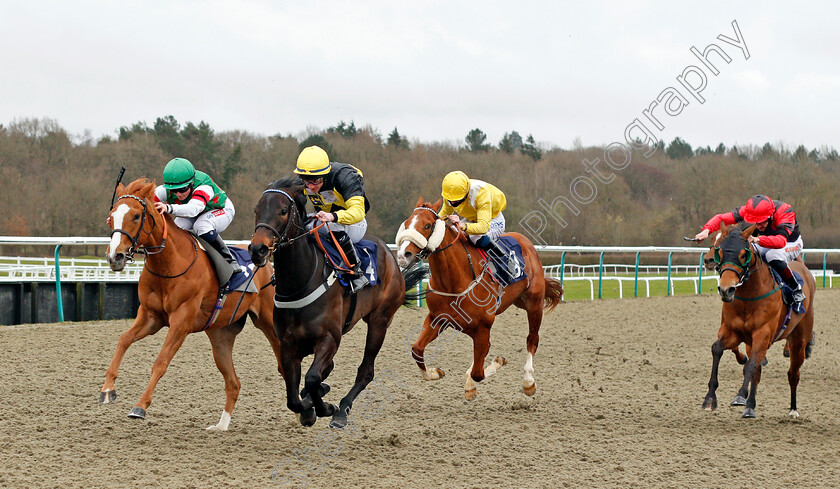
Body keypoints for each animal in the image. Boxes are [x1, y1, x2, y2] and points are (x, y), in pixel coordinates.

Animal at [101, 177, 282, 428]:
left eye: (137, 216)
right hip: (221, 335)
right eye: (112, 215)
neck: (169, 263)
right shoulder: (150, 317)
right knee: (234, 383)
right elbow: (123, 340)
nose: (114, 257)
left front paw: (140, 406)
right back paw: (221, 426)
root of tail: (264, 261)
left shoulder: (181, 322)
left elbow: (160, 362)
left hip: (269, 321)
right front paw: (108, 389)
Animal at [248, 177, 420, 426]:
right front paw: (308, 409)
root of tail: (391, 256)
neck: (299, 283)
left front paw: (326, 408)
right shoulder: (288, 344)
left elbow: (311, 378)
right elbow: (293, 397)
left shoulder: (329, 338)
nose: (257, 249)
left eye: (282, 211)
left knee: (366, 370)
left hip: (380, 321)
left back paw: (342, 409)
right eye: (256, 210)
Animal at [394, 196, 564, 398]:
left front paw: (495, 364)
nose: (403, 255)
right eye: (406, 224)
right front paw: (437, 373)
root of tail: (527, 242)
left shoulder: (483, 326)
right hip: (518, 301)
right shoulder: (438, 318)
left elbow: (478, 373)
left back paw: (528, 381)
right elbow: (417, 350)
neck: (454, 280)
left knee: (532, 339)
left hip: (534, 304)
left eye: (427, 225)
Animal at [704, 223, 812, 418]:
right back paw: (750, 405)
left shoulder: (763, 334)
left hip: (799, 341)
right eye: (720, 252)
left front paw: (740, 394)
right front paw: (710, 398)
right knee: (759, 371)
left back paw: (793, 409)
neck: (749, 295)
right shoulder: (733, 331)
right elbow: (717, 349)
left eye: (743, 255)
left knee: (793, 374)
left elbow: (751, 365)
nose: (726, 289)